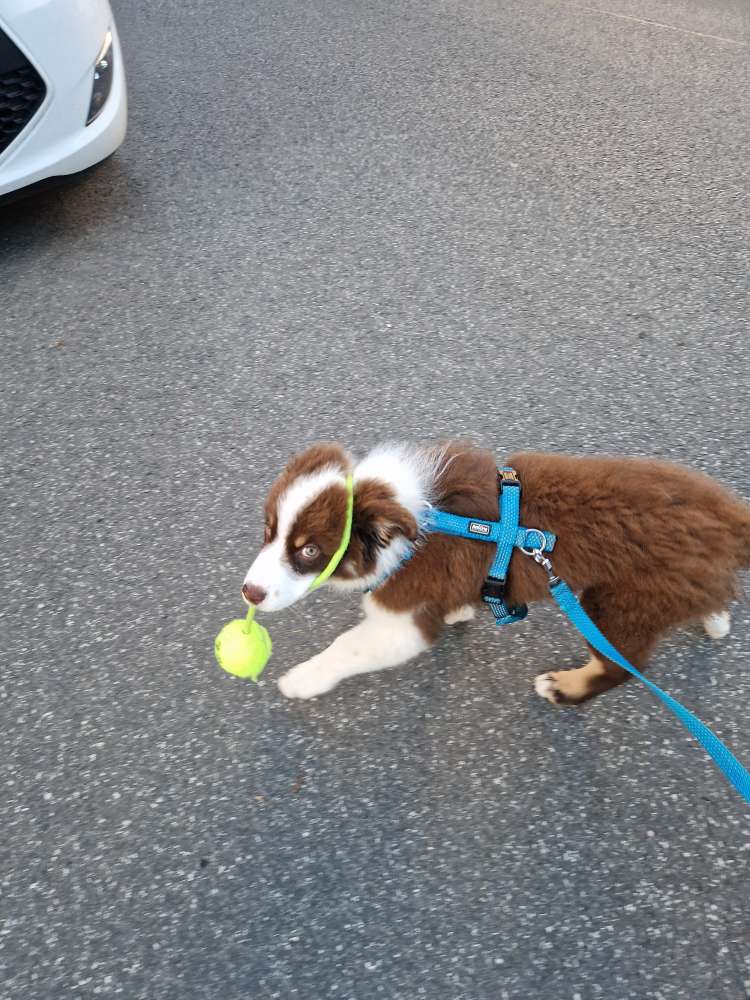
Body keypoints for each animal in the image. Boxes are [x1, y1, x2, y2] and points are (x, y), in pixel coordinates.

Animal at [242, 446, 750, 704]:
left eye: (308, 550)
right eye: (268, 531)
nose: (249, 592)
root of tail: (728, 518)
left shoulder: (405, 616)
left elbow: (348, 646)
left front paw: (302, 679)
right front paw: (459, 612)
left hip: (619, 603)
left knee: (623, 666)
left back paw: (564, 687)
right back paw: (716, 618)